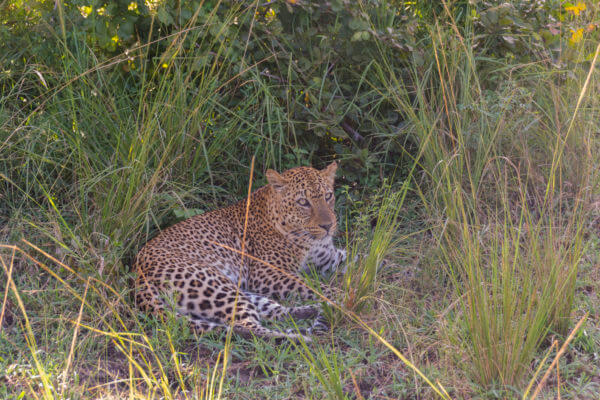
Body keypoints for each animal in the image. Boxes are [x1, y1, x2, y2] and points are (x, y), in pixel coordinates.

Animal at [133, 162, 344, 340]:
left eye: (328, 196)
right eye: (303, 202)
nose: (328, 225)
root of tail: (138, 277)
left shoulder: (332, 259)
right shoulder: (268, 274)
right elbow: (314, 286)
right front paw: (341, 295)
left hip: (237, 290)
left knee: (274, 313)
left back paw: (316, 311)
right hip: (214, 284)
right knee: (245, 326)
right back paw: (298, 338)